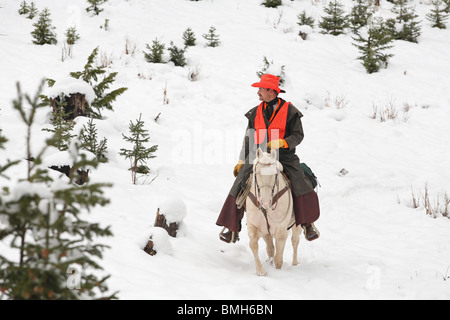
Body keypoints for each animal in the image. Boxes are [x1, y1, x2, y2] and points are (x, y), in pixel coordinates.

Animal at [246, 148, 302, 276]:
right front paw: (261, 271)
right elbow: (254, 244)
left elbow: (278, 260)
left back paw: (295, 264)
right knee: (271, 248)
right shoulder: (254, 226)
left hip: (297, 226)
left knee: (295, 242)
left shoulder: (281, 232)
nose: (266, 202)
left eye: (275, 174)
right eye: (257, 173)